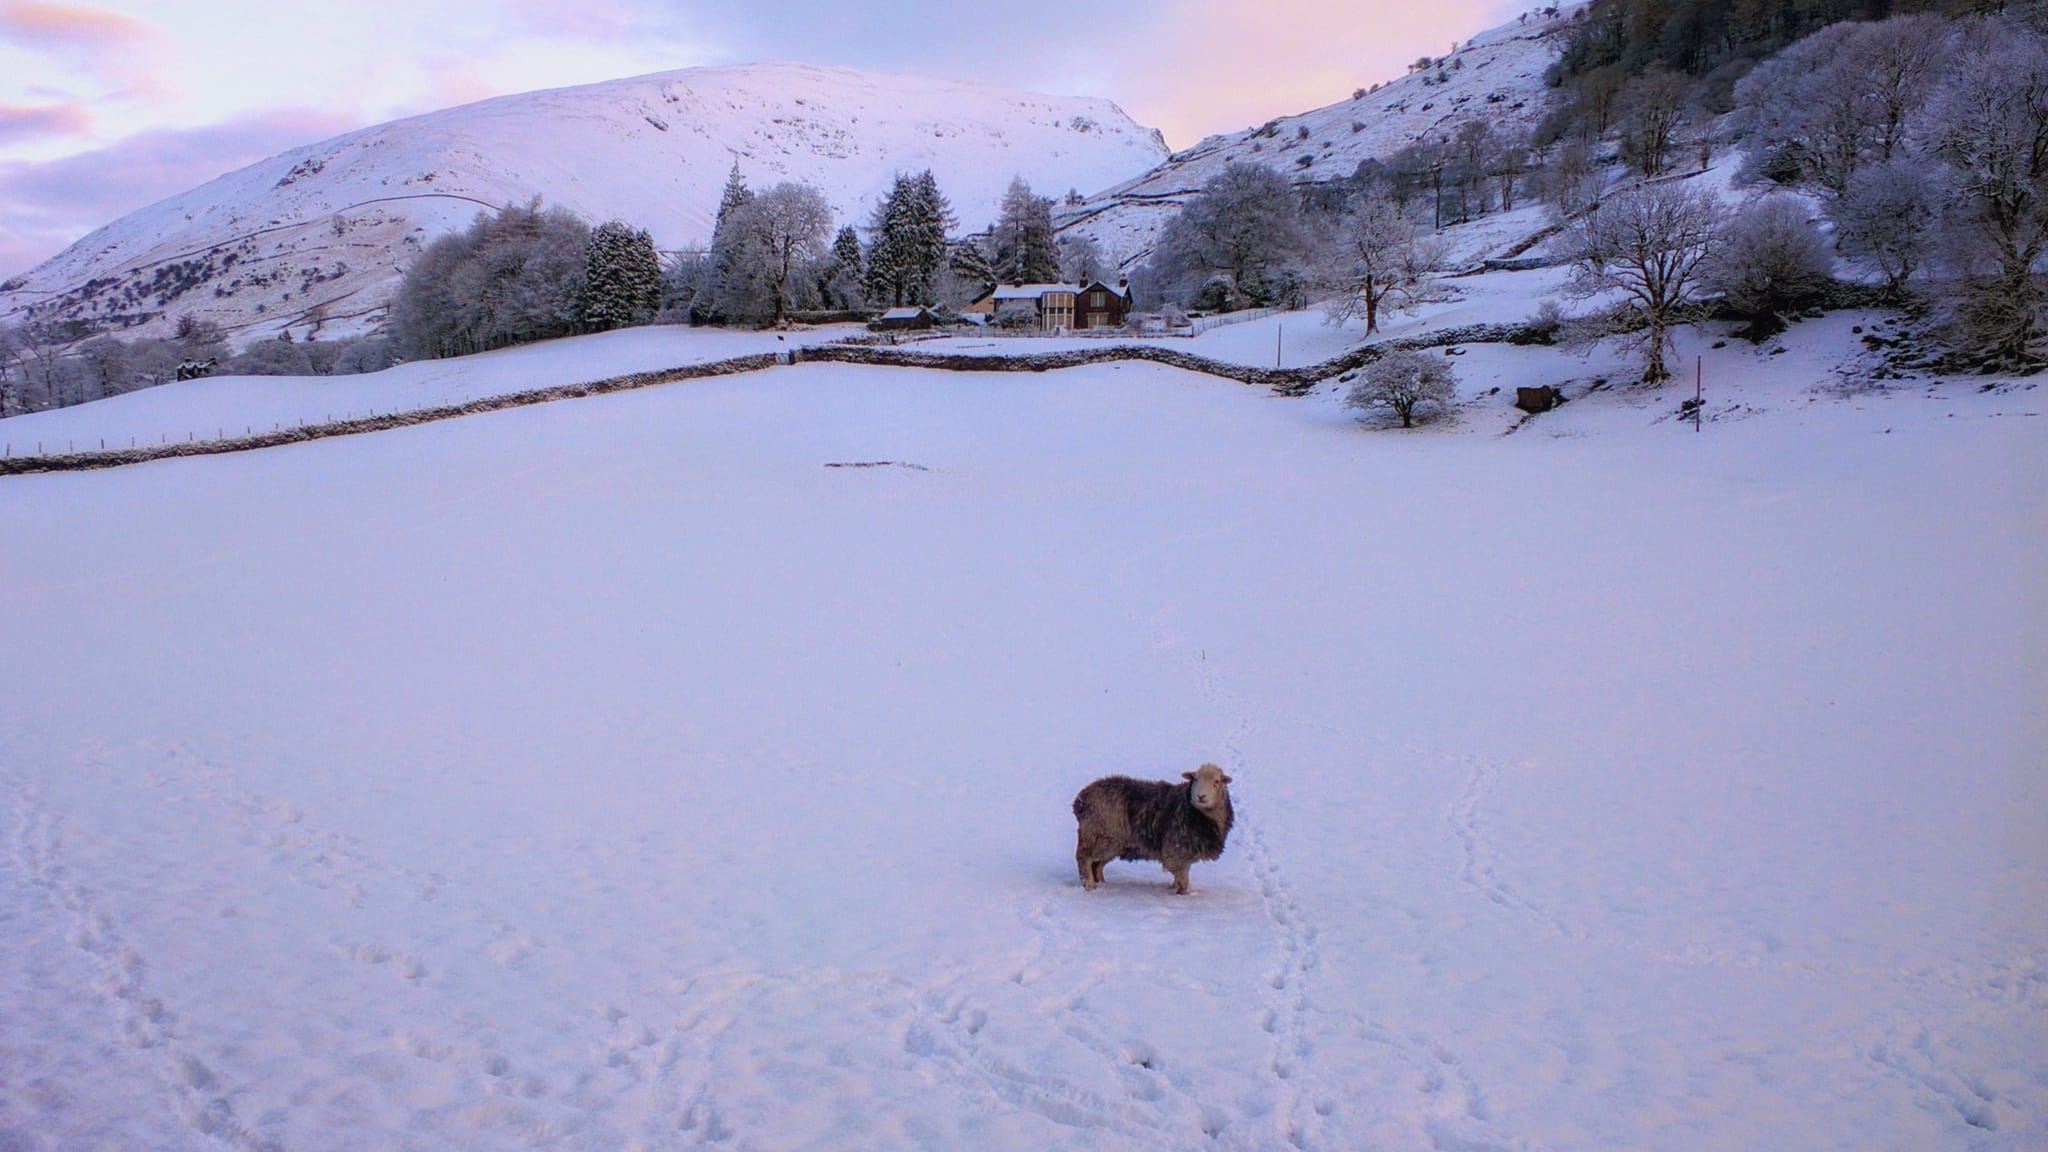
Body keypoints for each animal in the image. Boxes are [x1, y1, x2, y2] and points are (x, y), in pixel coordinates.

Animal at [1073, 766, 1228, 893]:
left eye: (1217, 782)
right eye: (1195, 779)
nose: (1201, 796)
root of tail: (1081, 799)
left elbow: (1180, 875)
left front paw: (1173, 887)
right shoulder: (1176, 851)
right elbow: (1182, 876)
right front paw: (1184, 893)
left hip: (1111, 842)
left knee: (1097, 865)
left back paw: (1102, 883)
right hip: (1099, 836)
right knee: (1084, 858)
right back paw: (1089, 885)